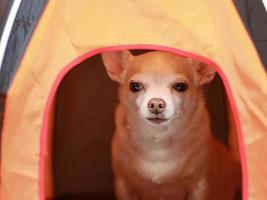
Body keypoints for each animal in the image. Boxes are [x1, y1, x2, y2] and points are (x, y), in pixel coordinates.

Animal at [101, 50, 242, 199]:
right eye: (135, 86)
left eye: (180, 86)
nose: (156, 103)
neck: (158, 140)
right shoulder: (123, 184)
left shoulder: (199, 185)